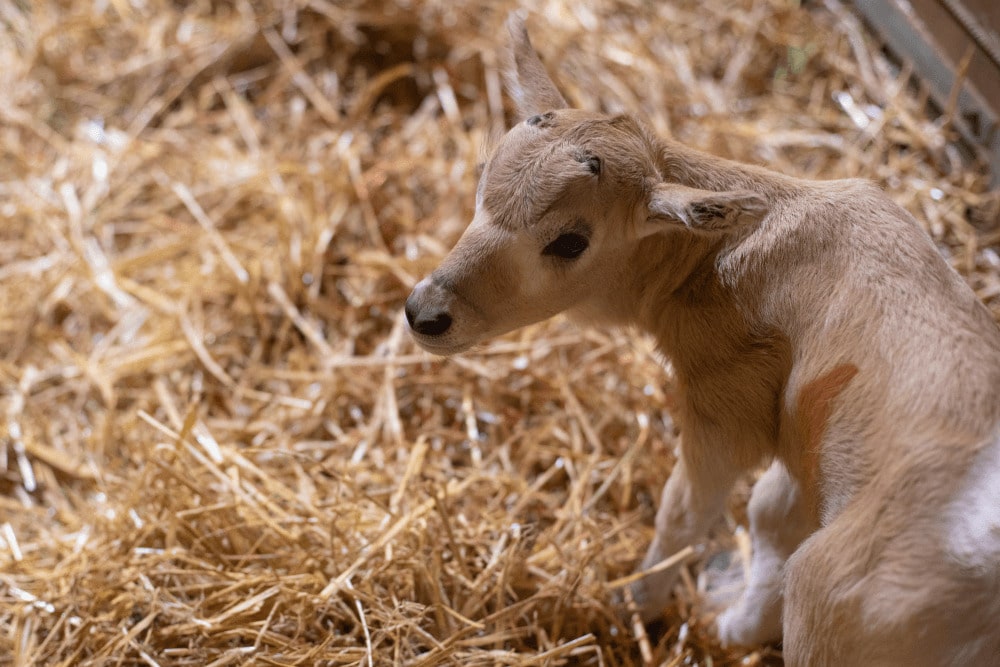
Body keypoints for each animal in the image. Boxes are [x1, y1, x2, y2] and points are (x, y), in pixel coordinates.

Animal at [404, 13, 1000, 664]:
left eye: (570, 241)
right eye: (482, 178)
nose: (425, 313)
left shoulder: (727, 409)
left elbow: (686, 511)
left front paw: (637, 604)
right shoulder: (802, 444)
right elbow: (771, 517)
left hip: (832, 603)